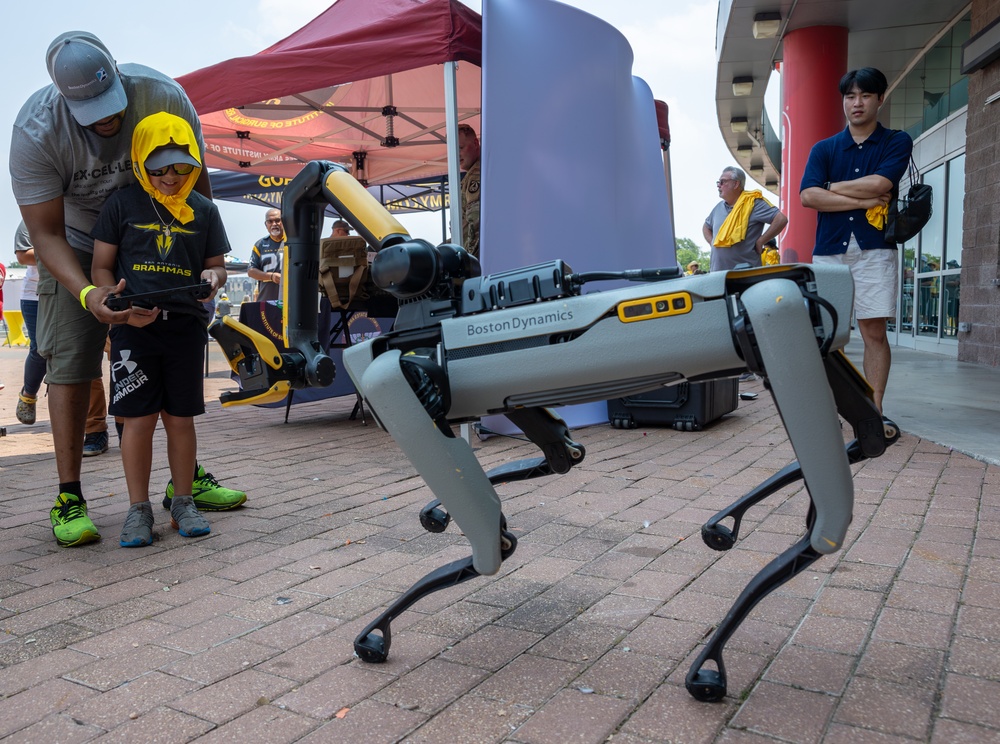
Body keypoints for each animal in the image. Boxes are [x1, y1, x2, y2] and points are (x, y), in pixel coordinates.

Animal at [209, 160, 900, 700]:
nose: (299, 363)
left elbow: (499, 533)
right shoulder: (420, 387)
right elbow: (526, 498)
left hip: (778, 320)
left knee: (844, 487)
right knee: (860, 454)